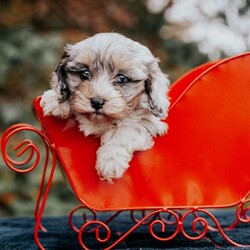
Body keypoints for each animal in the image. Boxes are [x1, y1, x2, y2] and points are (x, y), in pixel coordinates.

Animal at [40, 32, 170, 182]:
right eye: (85, 73)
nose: (97, 102)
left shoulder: (150, 125)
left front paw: (110, 160)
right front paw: (56, 99)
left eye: (122, 79)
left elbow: (124, 131)